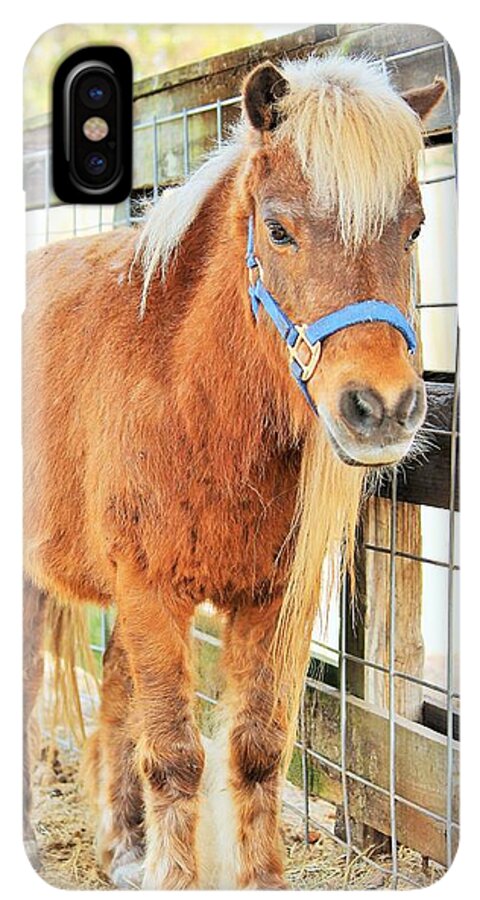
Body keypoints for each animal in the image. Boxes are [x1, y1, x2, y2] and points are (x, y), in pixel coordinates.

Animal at [23, 54, 446, 889]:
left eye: (414, 228)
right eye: (278, 230)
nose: (382, 408)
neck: (188, 394)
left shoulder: (269, 601)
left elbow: (255, 752)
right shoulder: (152, 592)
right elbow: (176, 757)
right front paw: (175, 876)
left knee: (113, 696)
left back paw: (123, 846)